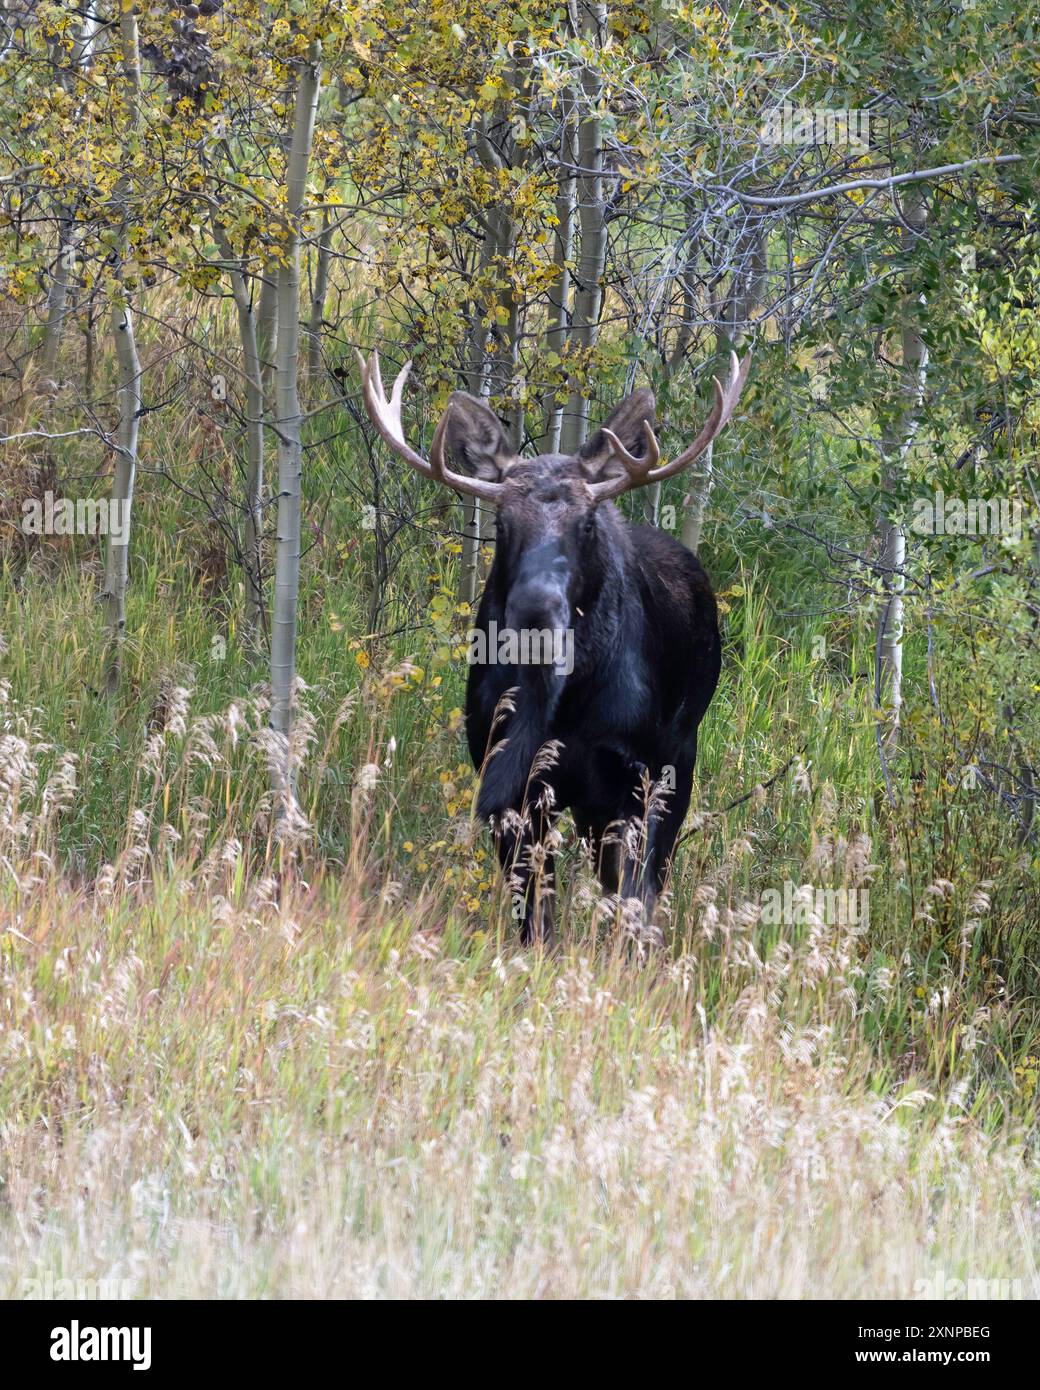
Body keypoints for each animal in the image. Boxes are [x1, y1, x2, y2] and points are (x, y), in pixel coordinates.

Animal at [358, 347, 745, 945]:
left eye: (587, 524)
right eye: (500, 522)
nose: (535, 608)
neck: (563, 709)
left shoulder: (634, 778)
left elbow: (631, 901)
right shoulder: (508, 780)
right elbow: (534, 914)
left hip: (678, 759)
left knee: (648, 881)